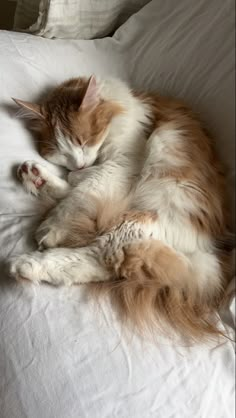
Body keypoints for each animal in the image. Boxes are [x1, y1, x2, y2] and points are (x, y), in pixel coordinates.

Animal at [9, 76, 232, 342]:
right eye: (60, 152)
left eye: (83, 140)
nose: (79, 163)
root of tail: (211, 264)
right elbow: (79, 186)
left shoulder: (122, 164)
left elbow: (84, 188)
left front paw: (54, 226)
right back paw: (35, 178)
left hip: (137, 225)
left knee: (97, 253)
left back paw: (30, 258)